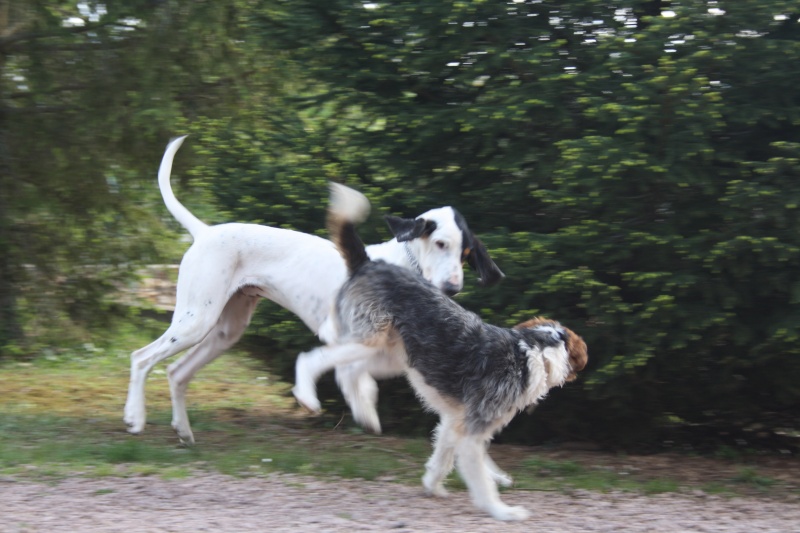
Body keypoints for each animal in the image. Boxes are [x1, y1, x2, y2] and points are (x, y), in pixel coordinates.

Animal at [124, 135, 500, 442]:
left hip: (224, 332)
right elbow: (336, 369)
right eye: (440, 243)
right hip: (196, 320)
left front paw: (362, 408)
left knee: (176, 372)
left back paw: (184, 431)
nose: (452, 288)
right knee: (141, 358)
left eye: (466, 254)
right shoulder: (342, 336)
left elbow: (361, 381)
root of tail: (205, 231)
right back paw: (135, 417)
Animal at [294, 183, 588, 520]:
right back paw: (308, 397)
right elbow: (482, 482)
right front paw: (503, 511)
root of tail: (368, 263)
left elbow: (441, 460)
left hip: (387, 355)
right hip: (368, 343)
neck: (531, 353)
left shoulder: (452, 424)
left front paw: (432, 486)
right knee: (312, 359)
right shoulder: (472, 435)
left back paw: (365, 413)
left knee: (347, 372)